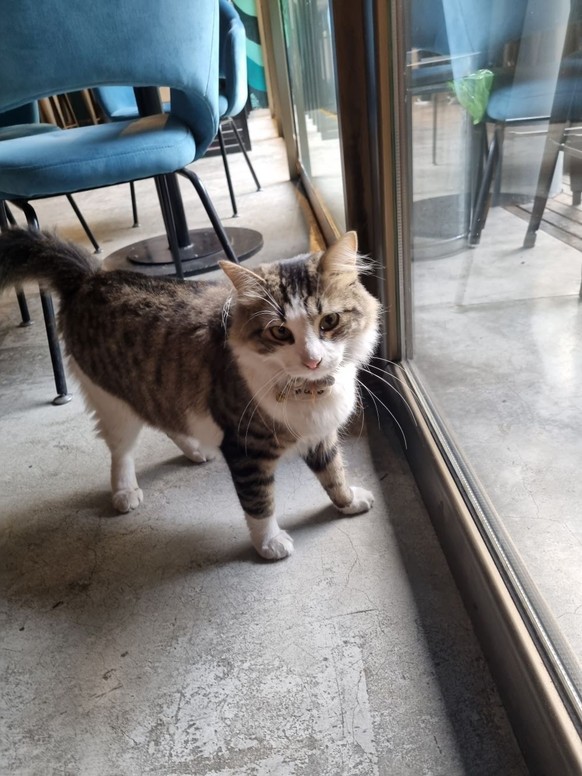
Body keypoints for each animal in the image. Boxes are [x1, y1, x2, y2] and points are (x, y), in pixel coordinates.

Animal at [0, 228, 380, 560]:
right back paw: (124, 491)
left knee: (165, 419)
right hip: (114, 402)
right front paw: (269, 544)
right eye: (280, 332)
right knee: (121, 451)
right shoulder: (245, 447)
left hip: (156, 389)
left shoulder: (320, 434)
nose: (312, 360)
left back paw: (195, 450)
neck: (308, 391)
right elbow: (259, 502)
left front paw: (347, 502)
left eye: (329, 321)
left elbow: (334, 474)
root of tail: (89, 278)